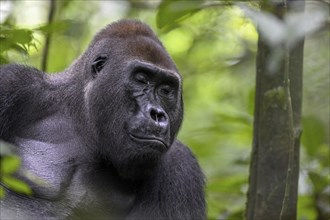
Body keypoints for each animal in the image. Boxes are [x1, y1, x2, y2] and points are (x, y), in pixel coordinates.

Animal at [0, 19, 205, 219]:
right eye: (141, 79)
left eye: (165, 90)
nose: (157, 114)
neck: (82, 119)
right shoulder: (14, 84)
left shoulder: (181, 166)